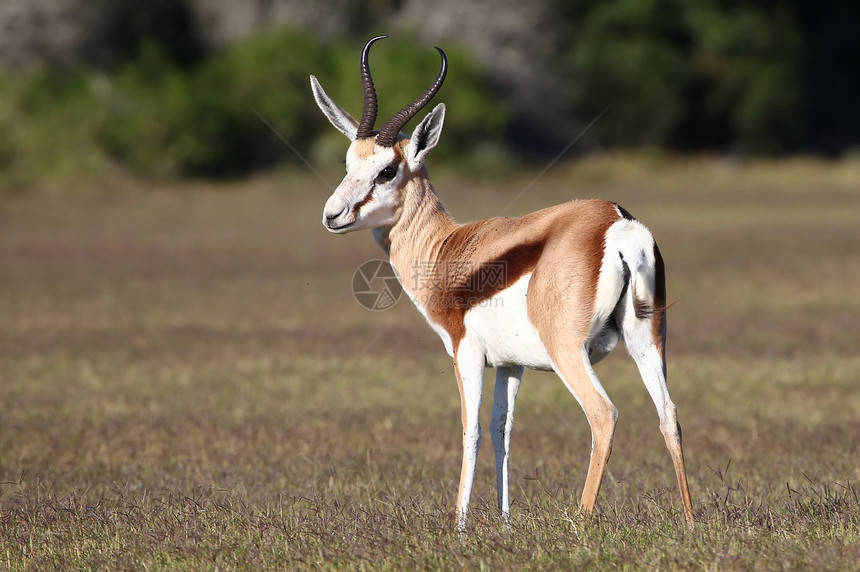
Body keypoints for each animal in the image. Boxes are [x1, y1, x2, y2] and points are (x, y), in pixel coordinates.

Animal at [312, 35, 696, 528]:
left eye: (387, 170)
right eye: (348, 163)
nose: (332, 215)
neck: (445, 247)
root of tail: (618, 223)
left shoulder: (465, 352)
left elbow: (471, 430)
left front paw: (459, 526)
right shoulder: (511, 365)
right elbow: (502, 431)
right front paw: (504, 521)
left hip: (569, 351)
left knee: (603, 414)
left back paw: (581, 520)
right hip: (647, 339)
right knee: (669, 414)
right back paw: (690, 522)